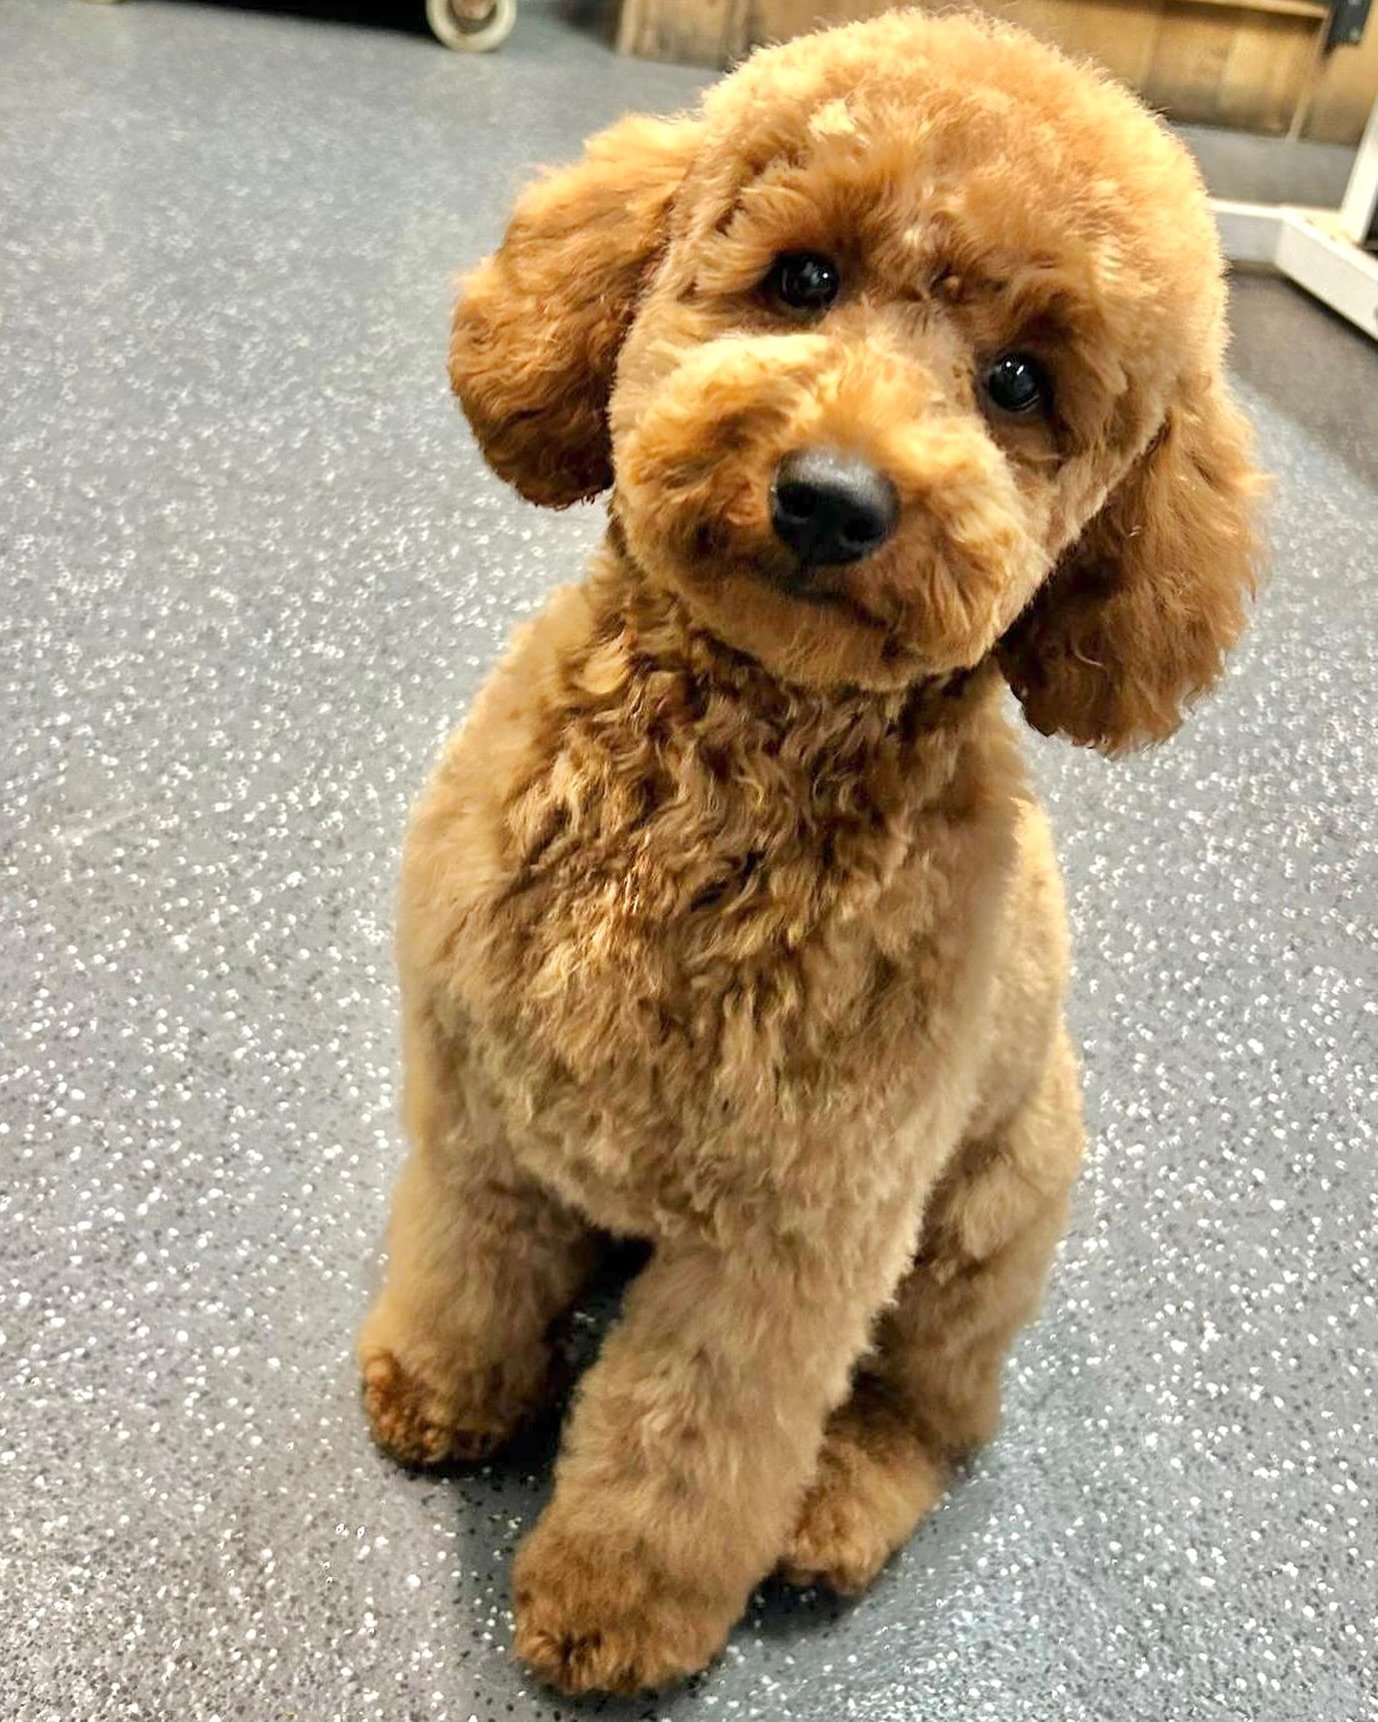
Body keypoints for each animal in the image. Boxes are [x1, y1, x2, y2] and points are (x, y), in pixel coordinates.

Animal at [354, 13, 1260, 1701]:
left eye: (1017, 381)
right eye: (802, 278)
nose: (834, 497)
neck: (724, 764)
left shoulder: (794, 1237)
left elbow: (685, 1443)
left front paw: (613, 1610)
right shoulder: (476, 1101)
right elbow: (467, 1258)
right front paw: (441, 1388)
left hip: (981, 1227)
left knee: (929, 1414)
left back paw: (834, 1507)